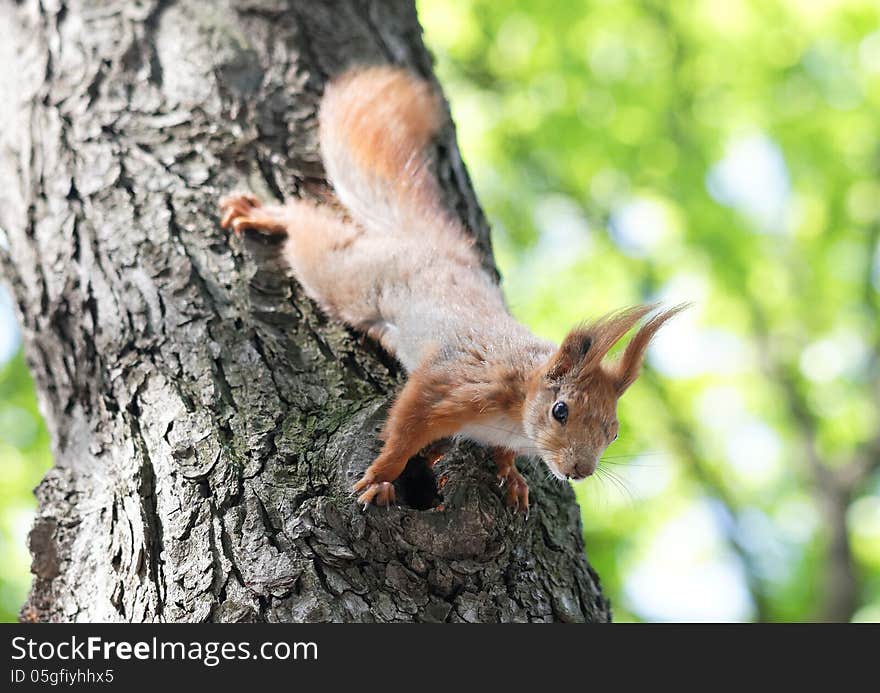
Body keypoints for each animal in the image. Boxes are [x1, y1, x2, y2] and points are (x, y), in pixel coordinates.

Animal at [220, 66, 688, 508]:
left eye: (613, 432)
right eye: (560, 411)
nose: (579, 471)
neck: (519, 405)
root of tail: (431, 246)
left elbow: (500, 454)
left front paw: (512, 476)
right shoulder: (451, 386)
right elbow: (405, 428)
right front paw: (381, 477)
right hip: (351, 280)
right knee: (311, 234)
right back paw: (267, 215)